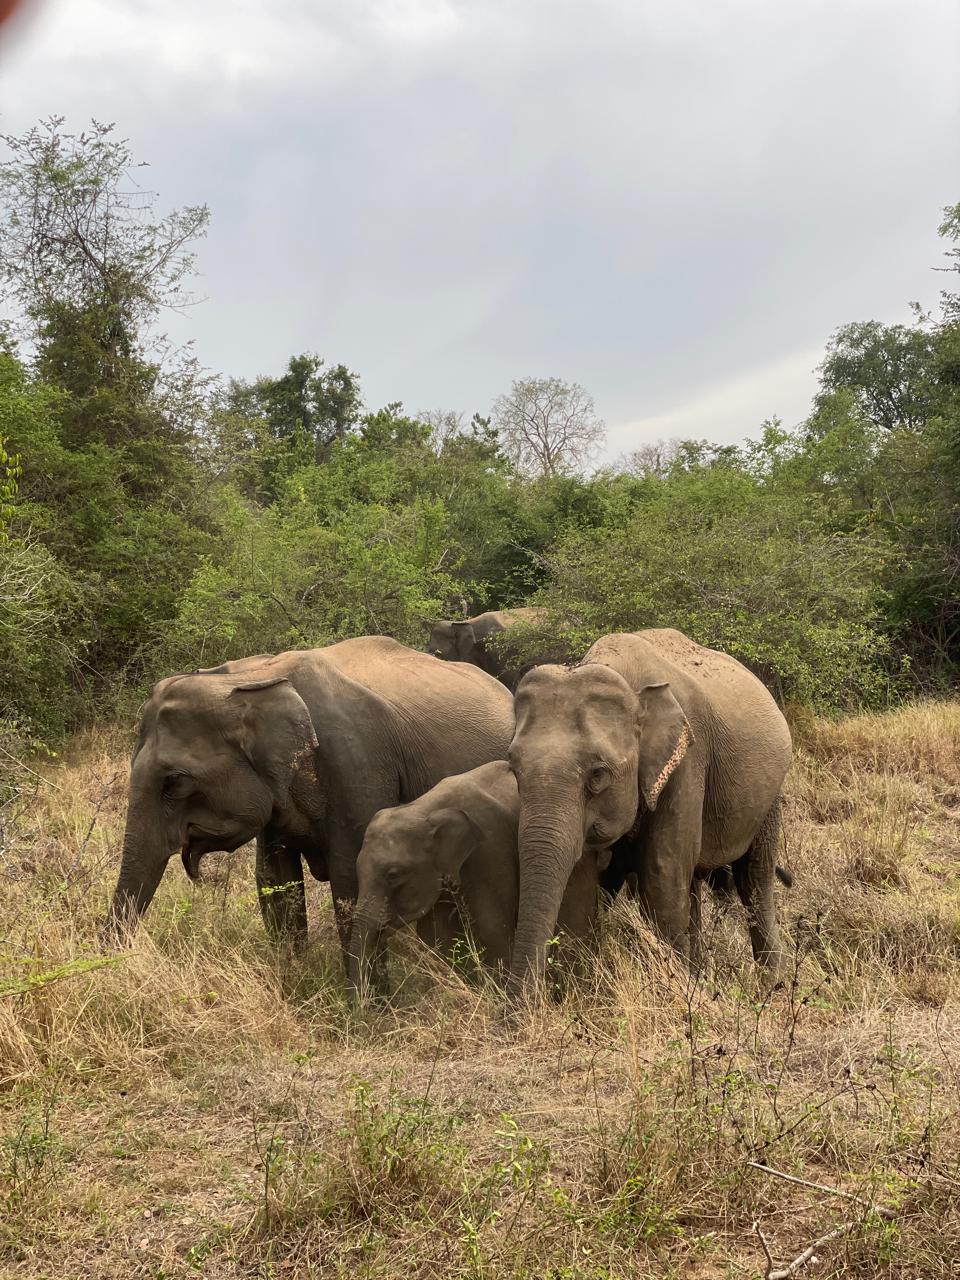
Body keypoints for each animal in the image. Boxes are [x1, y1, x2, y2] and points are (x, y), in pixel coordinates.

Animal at [346, 761, 600, 994]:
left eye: (393, 875)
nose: (363, 1004)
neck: (422, 810)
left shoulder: (490, 849)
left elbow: (493, 927)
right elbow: (438, 936)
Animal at [506, 628, 793, 997]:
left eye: (597, 774)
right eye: (513, 768)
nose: (517, 1008)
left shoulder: (687, 761)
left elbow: (662, 874)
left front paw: (679, 991)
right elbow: (583, 882)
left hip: (769, 796)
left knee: (754, 880)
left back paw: (772, 989)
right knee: (694, 883)